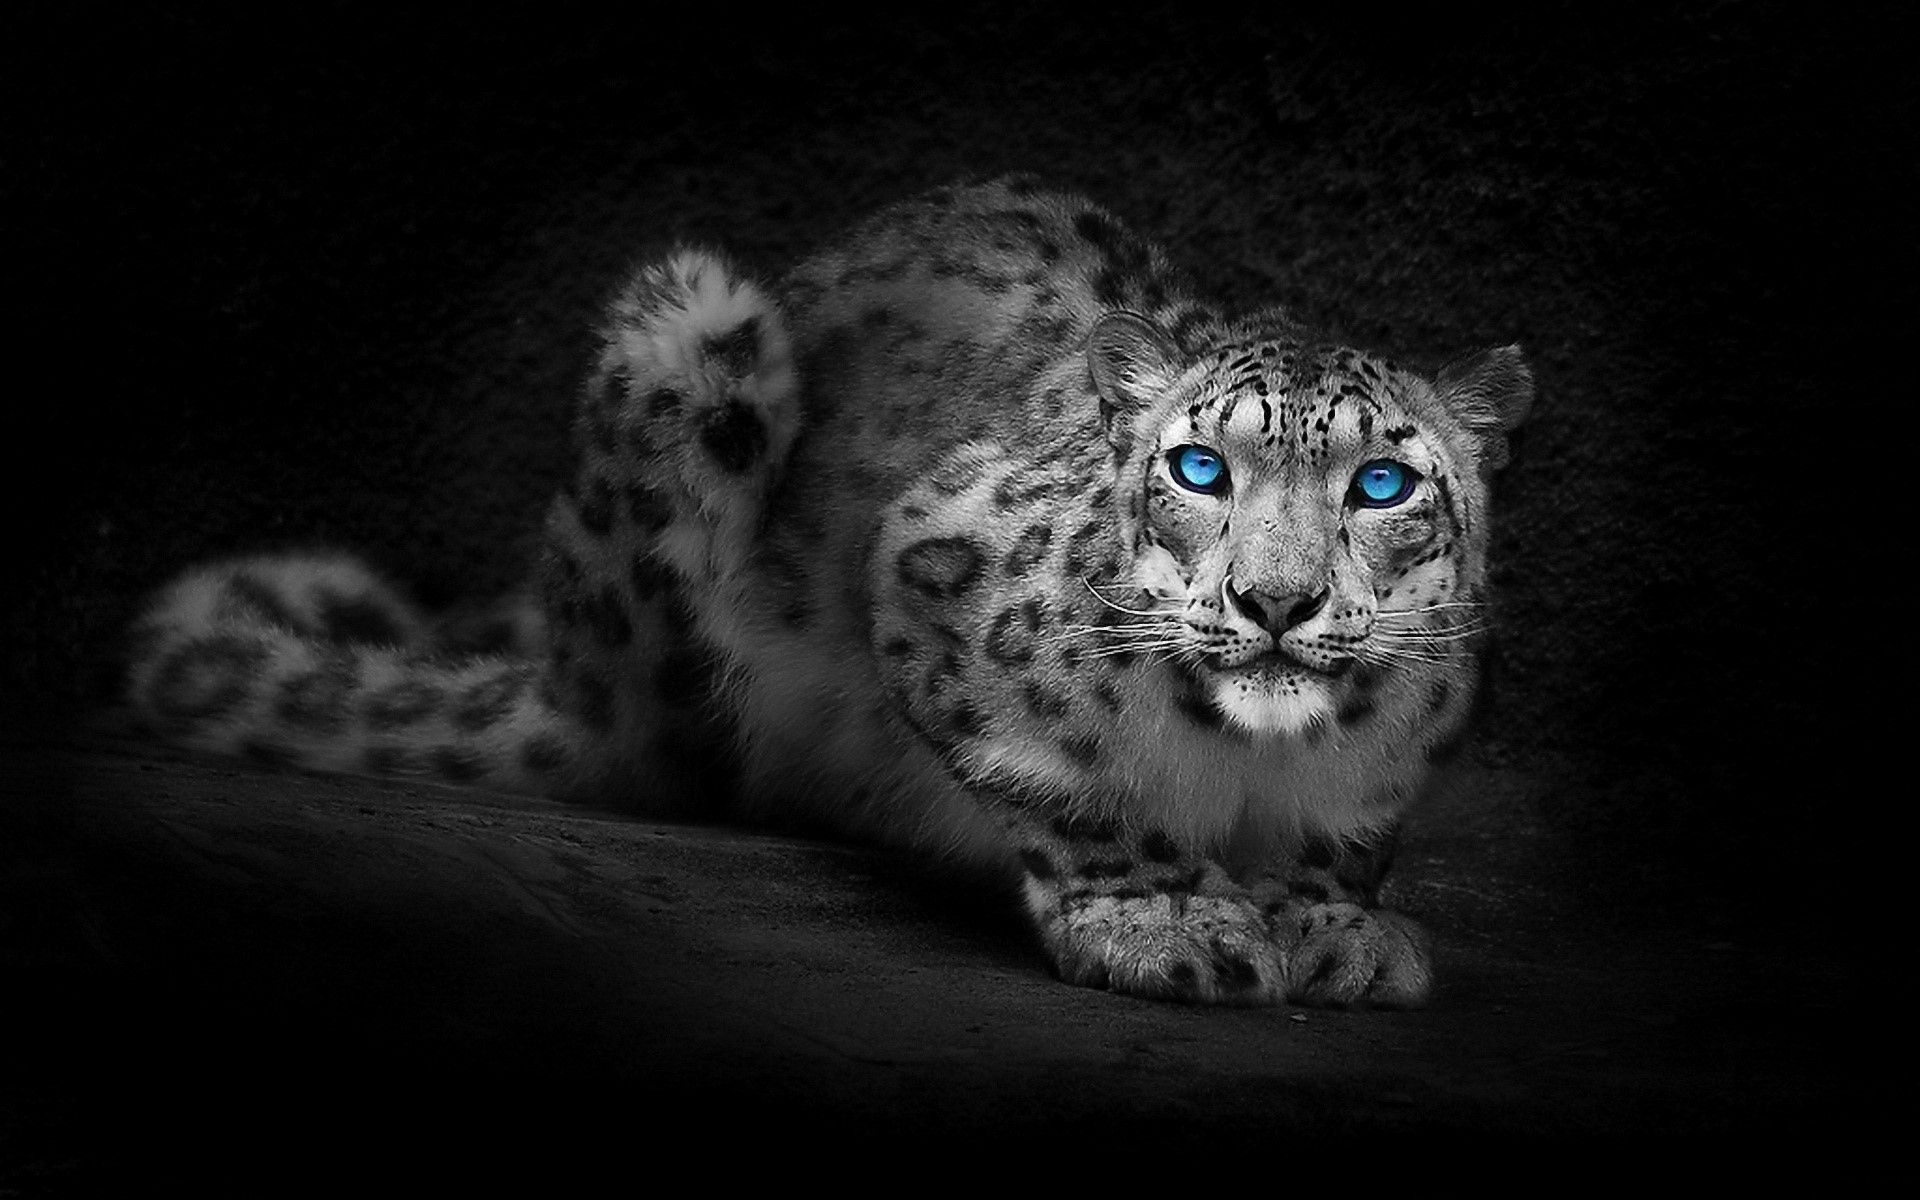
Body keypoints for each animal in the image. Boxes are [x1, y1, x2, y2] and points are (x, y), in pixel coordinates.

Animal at [126, 177, 1531, 1007]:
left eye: (1384, 484)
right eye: (1199, 466)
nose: (1274, 602)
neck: (1253, 763)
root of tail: (569, 677)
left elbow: (1349, 836)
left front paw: (1334, 926)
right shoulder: (931, 568)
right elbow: (1066, 786)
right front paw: (1167, 917)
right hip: (691, 345)